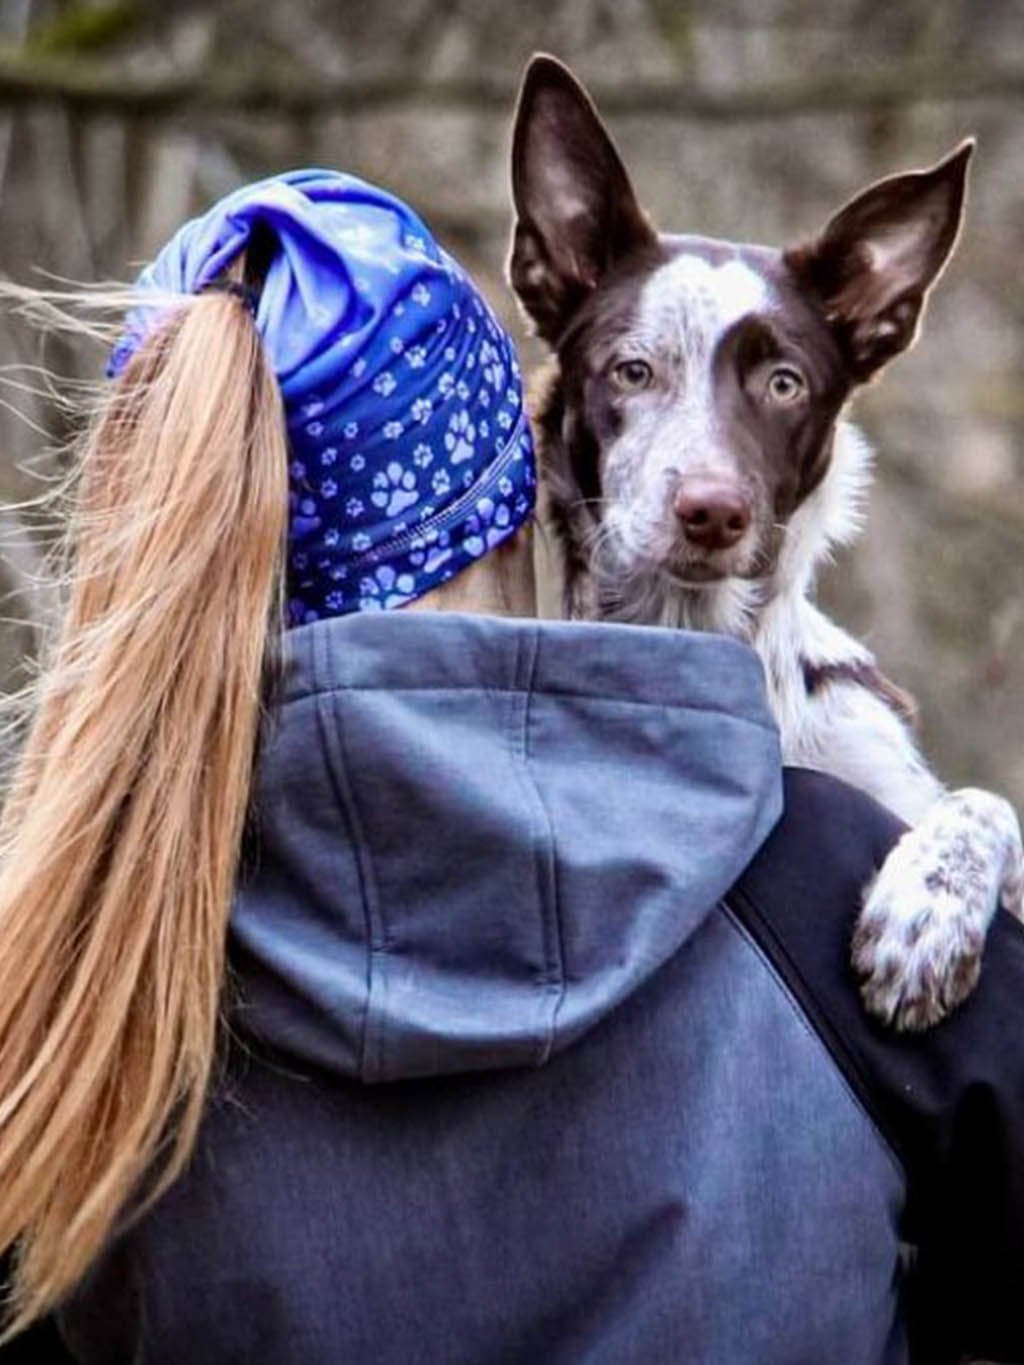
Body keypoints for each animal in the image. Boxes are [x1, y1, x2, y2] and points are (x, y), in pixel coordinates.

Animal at [510, 55, 1021, 1031]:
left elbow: (983, 801)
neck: (701, 635)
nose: (712, 511)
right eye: (633, 370)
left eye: (785, 383)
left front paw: (926, 912)